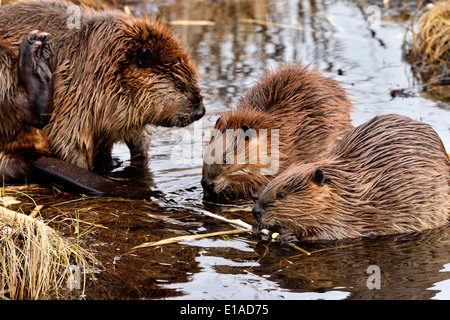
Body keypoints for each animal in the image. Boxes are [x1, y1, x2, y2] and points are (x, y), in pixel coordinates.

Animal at [0, 0, 205, 170]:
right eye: (179, 85)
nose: (201, 111)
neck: (104, 60)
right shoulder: (74, 95)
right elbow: (69, 141)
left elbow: (137, 138)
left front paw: (130, 160)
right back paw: (33, 53)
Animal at [253, 114, 450, 241]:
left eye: (282, 195)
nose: (255, 211)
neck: (344, 191)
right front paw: (257, 227)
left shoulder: (347, 217)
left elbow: (332, 234)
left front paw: (290, 236)